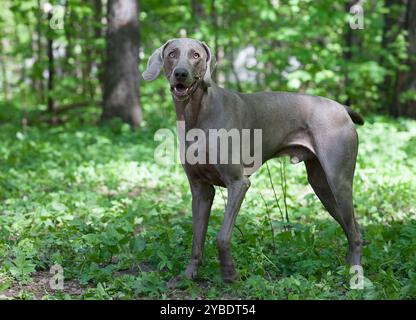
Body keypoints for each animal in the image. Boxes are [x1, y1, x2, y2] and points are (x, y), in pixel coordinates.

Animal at [141, 38, 362, 282]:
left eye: (196, 55)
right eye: (172, 53)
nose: (180, 73)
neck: (197, 114)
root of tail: (341, 107)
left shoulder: (238, 183)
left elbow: (222, 237)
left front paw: (229, 274)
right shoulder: (200, 190)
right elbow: (196, 239)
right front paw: (189, 275)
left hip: (338, 180)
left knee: (355, 232)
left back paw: (354, 273)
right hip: (321, 185)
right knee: (352, 228)